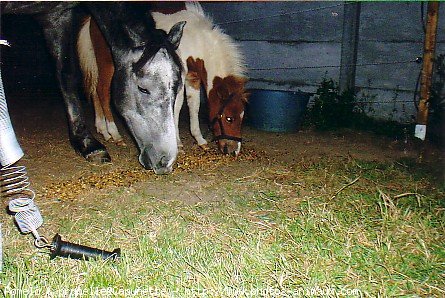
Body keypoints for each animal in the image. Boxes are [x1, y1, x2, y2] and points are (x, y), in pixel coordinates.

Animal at [77, 1, 248, 156]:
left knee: (95, 91)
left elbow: (194, 106)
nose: (234, 151)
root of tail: (92, 20)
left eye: (242, 116)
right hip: (107, 63)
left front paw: (200, 140)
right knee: (103, 92)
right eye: (229, 118)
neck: (195, 40)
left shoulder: (193, 78)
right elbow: (177, 106)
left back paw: (103, 131)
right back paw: (115, 134)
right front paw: (179, 144)